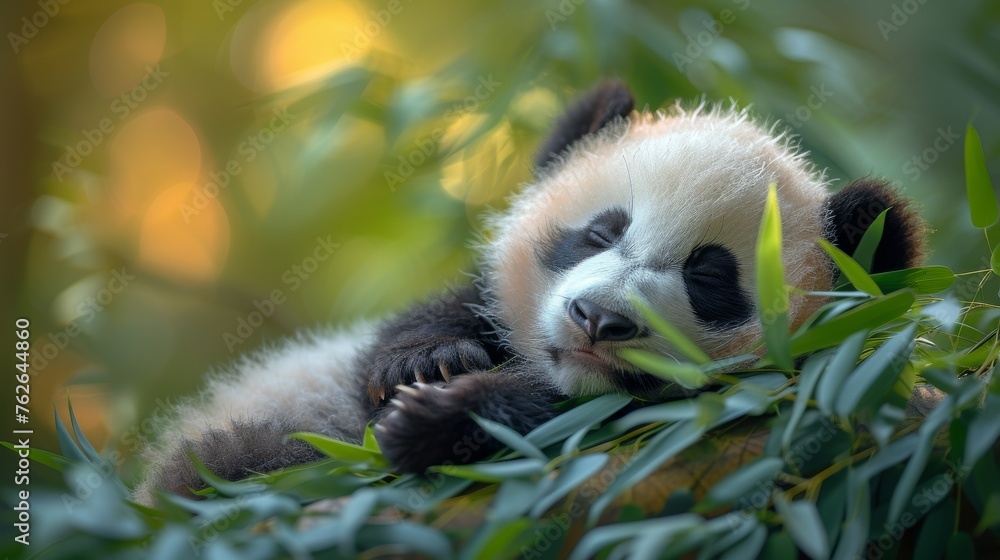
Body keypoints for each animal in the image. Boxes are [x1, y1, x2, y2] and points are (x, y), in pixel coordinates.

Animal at [133, 81, 923, 505]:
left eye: (708, 278)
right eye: (601, 233)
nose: (597, 319)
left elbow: (574, 420)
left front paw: (438, 419)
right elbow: (424, 328)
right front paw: (425, 364)